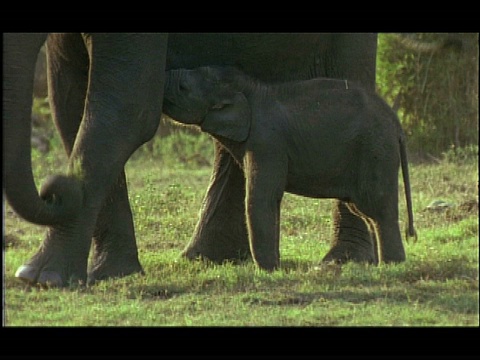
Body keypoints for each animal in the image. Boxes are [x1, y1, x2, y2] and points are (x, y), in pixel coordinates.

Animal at [2, 33, 378, 286]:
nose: (53, 189)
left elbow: (128, 109)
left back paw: (340, 262)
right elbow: (70, 102)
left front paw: (38, 278)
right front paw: (111, 274)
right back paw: (207, 258)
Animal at [162, 66, 416, 272]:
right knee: (364, 210)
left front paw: (267, 272)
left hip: (376, 150)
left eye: (183, 88)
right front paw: (274, 267)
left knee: (377, 208)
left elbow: (261, 197)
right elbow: (271, 201)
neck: (251, 90)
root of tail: (397, 125)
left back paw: (392, 266)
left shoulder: (266, 141)